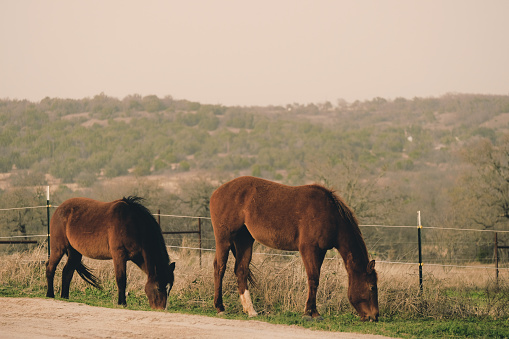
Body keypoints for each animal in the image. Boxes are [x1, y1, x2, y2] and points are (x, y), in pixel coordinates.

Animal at [46, 197, 177, 310]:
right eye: (159, 287)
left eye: (169, 288)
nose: (161, 308)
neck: (133, 224)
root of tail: (59, 209)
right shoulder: (119, 256)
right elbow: (121, 279)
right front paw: (122, 303)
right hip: (58, 248)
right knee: (50, 267)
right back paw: (50, 294)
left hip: (75, 252)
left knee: (67, 271)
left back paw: (65, 297)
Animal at [209, 177, 378, 322]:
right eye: (371, 287)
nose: (374, 316)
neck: (330, 214)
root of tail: (217, 192)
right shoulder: (309, 248)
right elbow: (313, 279)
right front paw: (309, 313)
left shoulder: (321, 251)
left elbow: (316, 279)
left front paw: (314, 313)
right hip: (224, 239)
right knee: (219, 267)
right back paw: (220, 307)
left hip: (244, 239)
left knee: (241, 270)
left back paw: (250, 310)